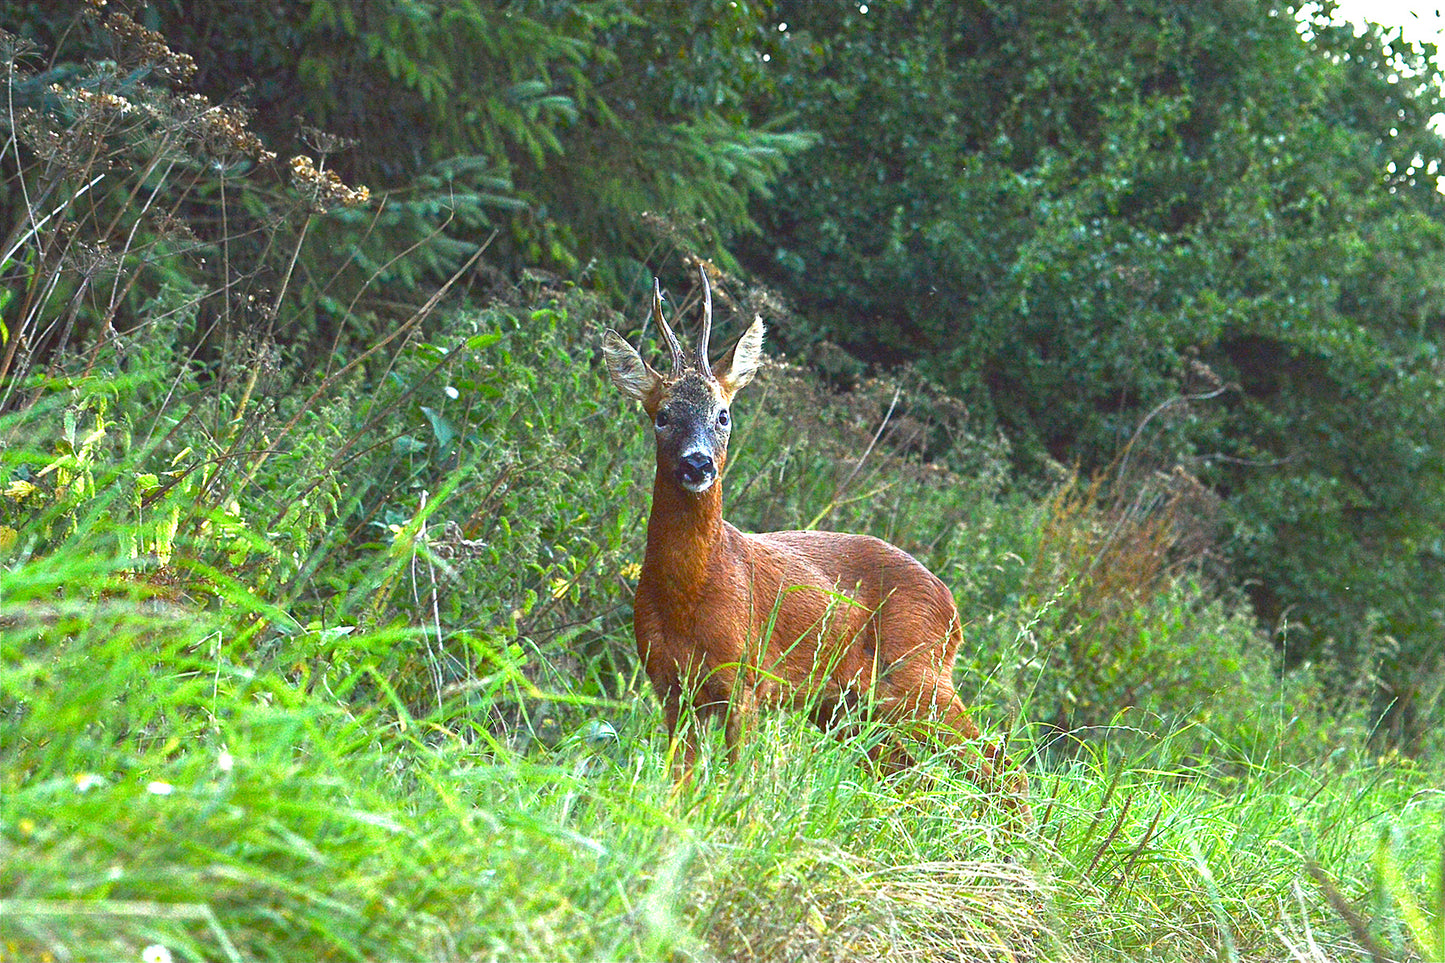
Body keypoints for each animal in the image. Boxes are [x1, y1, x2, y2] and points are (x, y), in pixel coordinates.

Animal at [604, 266, 1034, 815]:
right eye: (661, 415)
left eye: (723, 414)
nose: (697, 464)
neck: (690, 593)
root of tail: (953, 607)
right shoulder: (670, 687)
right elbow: (680, 786)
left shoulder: (745, 678)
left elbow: (739, 779)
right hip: (846, 705)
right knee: (907, 773)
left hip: (918, 675)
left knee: (1001, 767)